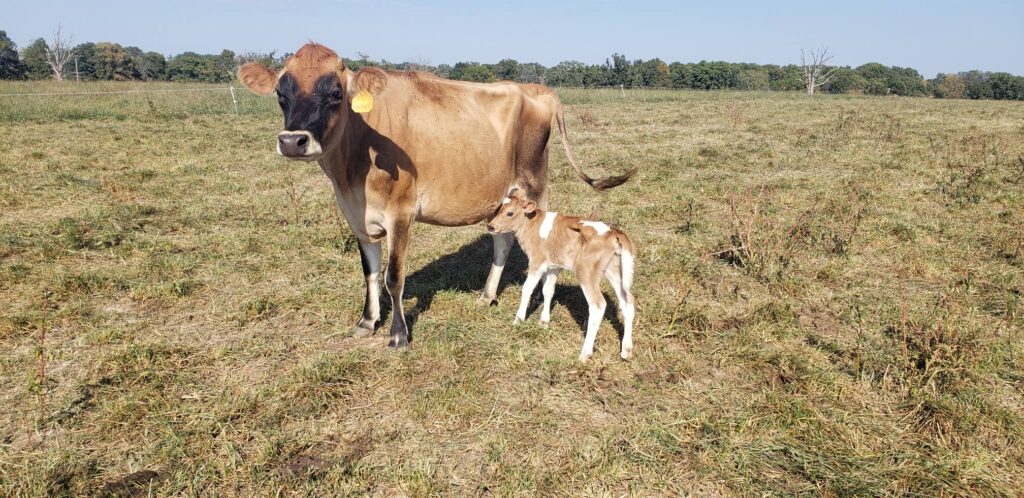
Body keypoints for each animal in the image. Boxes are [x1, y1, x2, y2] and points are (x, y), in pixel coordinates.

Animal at [485, 190, 630, 362]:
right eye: (499, 209)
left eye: (510, 213)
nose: (491, 226)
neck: (532, 225)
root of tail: (612, 232)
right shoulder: (554, 266)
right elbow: (548, 290)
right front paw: (544, 322)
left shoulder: (537, 261)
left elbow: (527, 289)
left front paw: (517, 320)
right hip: (614, 269)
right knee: (628, 302)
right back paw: (626, 351)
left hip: (586, 271)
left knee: (598, 305)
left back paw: (585, 353)